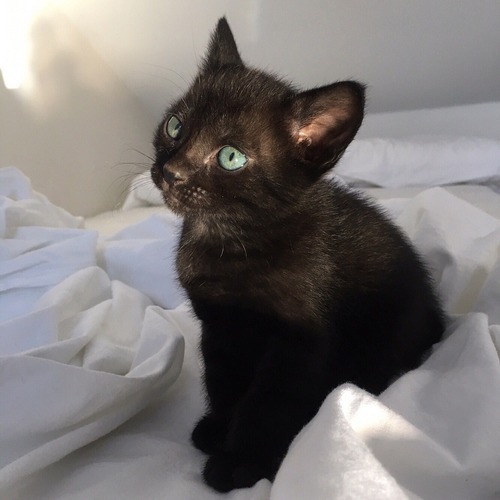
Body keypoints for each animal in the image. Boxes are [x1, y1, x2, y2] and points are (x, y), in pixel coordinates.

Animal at [150, 17, 444, 492]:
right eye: (175, 126)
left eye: (230, 157)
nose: (171, 172)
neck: (231, 240)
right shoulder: (218, 327)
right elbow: (223, 379)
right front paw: (218, 427)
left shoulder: (300, 342)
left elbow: (268, 401)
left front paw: (242, 462)